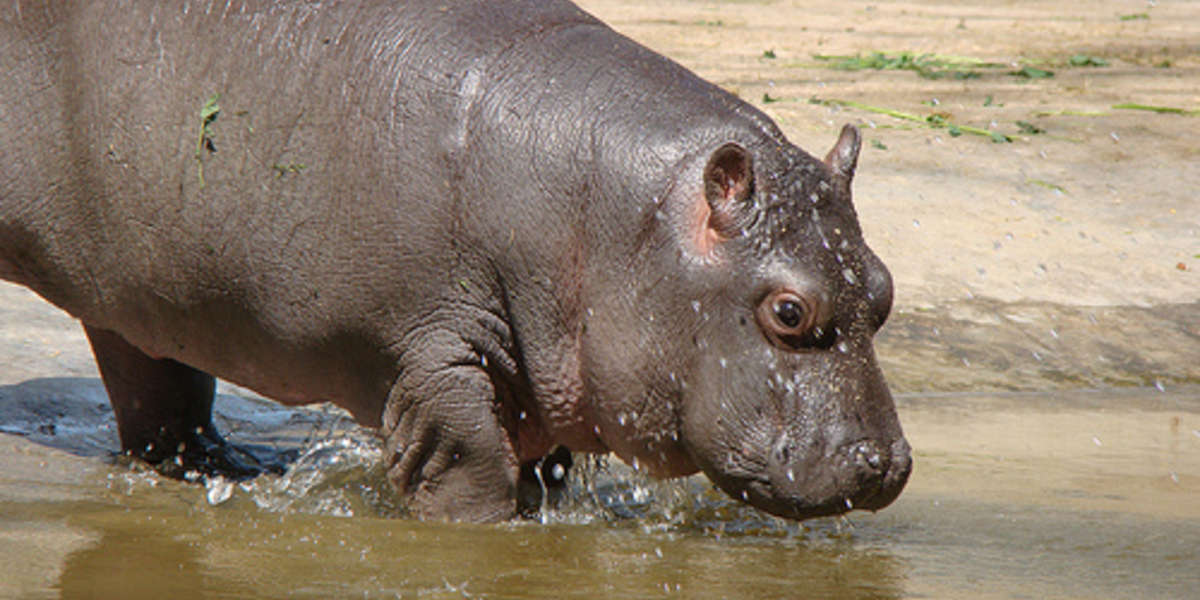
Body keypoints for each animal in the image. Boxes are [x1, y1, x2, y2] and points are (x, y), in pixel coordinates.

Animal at [0, 0, 907, 523]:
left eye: (886, 286)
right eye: (787, 311)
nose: (888, 464)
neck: (613, 216)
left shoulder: (537, 371)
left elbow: (540, 471)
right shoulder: (429, 353)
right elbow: (470, 467)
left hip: (142, 292)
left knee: (153, 384)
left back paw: (226, 468)